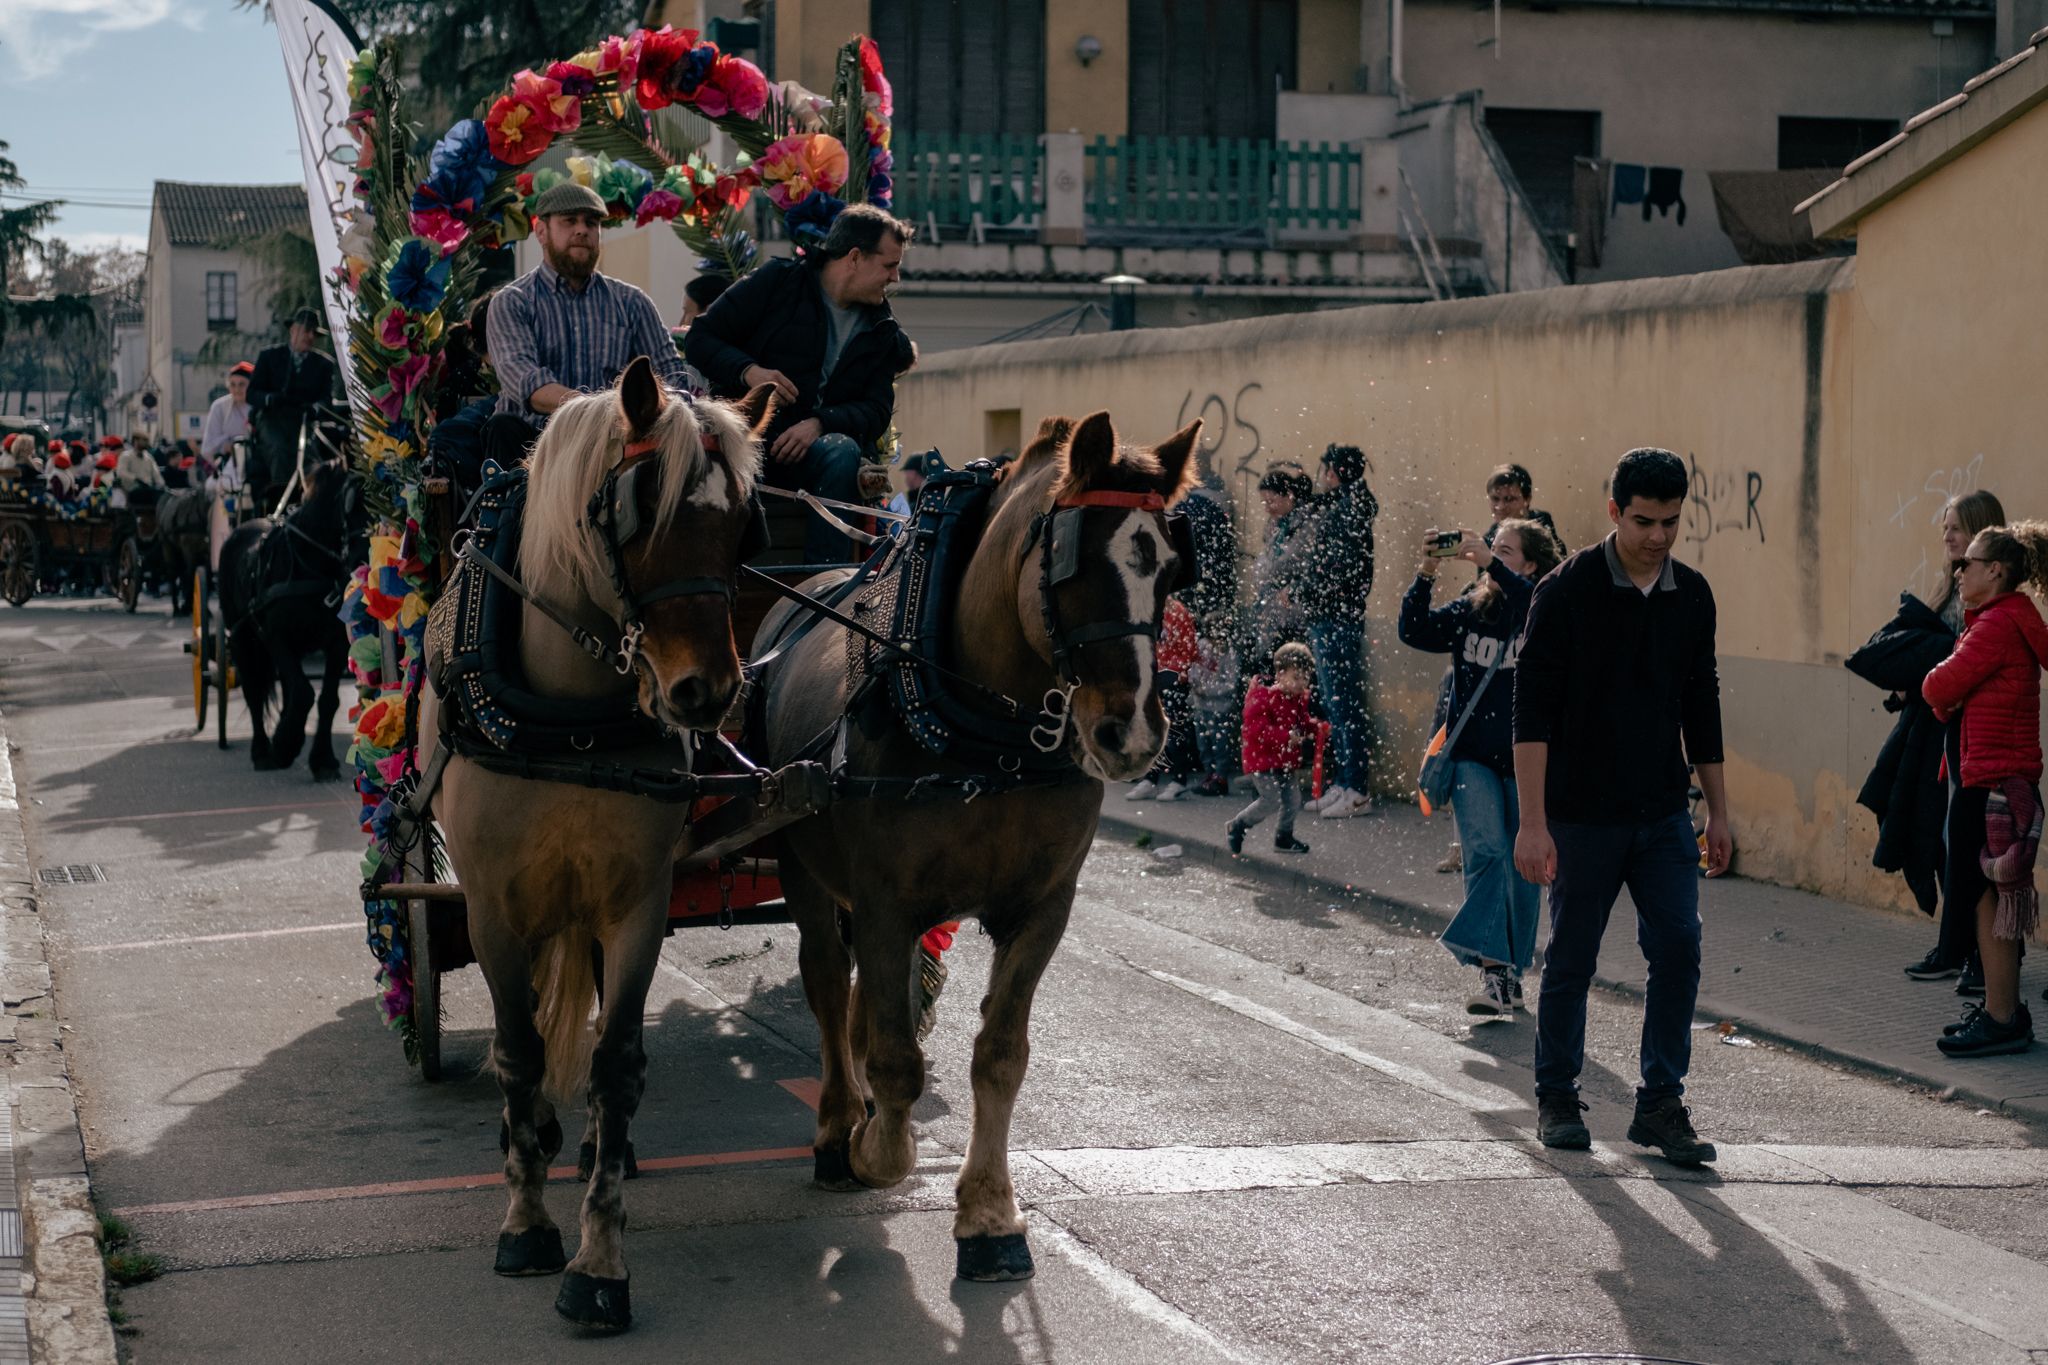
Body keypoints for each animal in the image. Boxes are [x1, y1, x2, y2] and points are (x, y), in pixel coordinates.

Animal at [216, 462, 368, 773]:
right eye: (349, 504)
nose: (362, 558)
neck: (308, 564)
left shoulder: (336, 643)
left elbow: (326, 699)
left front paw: (322, 759)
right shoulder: (276, 636)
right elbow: (303, 692)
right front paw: (285, 745)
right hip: (241, 638)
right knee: (253, 690)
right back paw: (262, 751)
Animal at [753, 413, 1196, 1285]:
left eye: (1168, 568)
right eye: (1071, 562)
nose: (1131, 733)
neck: (989, 740)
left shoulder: (1041, 907)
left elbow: (998, 1054)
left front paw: (990, 1213)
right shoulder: (886, 901)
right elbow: (895, 1056)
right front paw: (877, 1148)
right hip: (802, 863)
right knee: (825, 983)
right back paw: (836, 1128)